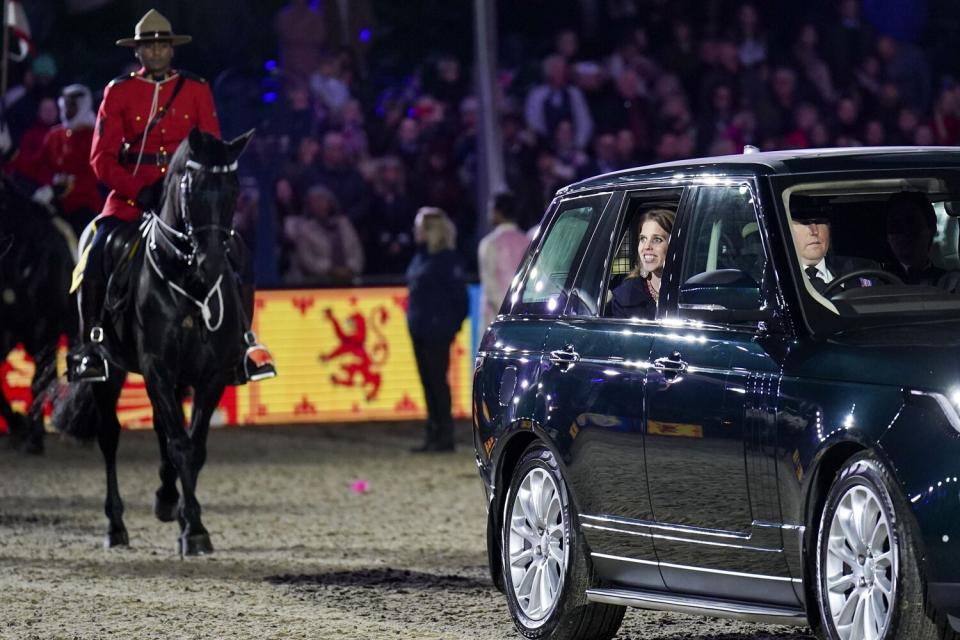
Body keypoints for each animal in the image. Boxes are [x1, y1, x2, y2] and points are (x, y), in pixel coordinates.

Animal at [54, 130, 253, 556]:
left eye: (233, 188)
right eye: (191, 187)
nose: (213, 262)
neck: (190, 282)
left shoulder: (209, 375)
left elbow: (194, 446)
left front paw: (187, 518)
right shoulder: (157, 367)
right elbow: (180, 444)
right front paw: (194, 529)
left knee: (162, 428)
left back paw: (167, 498)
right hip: (109, 371)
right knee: (110, 435)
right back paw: (116, 525)